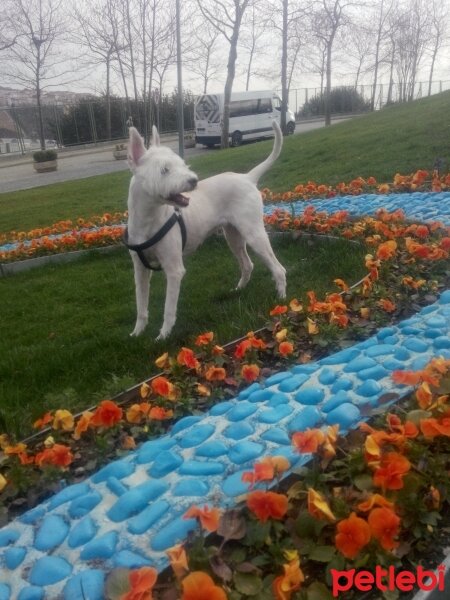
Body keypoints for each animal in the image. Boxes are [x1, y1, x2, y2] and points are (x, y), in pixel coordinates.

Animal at [124, 123, 284, 338]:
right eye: (164, 170)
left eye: (182, 164)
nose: (194, 180)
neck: (149, 220)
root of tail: (247, 178)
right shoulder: (140, 270)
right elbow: (141, 305)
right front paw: (137, 332)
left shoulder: (174, 270)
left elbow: (168, 308)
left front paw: (163, 335)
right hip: (233, 237)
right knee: (247, 264)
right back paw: (239, 289)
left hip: (254, 235)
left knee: (279, 269)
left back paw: (281, 300)